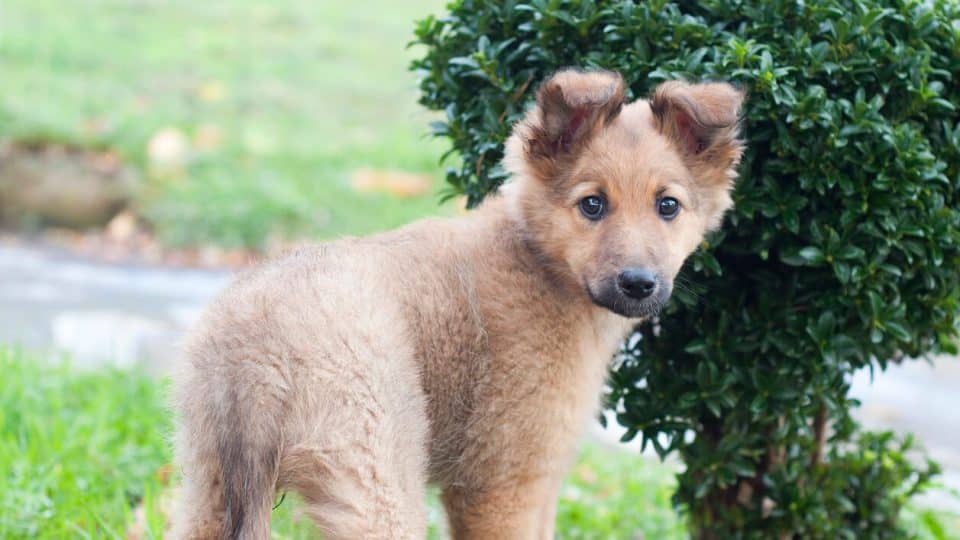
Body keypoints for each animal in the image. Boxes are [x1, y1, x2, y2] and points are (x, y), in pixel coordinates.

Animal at [171, 69, 744, 536]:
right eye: (593, 205)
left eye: (667, 206)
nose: (638, 283)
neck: (537, 263)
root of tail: (257, 350)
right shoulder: (502, 483)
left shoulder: (539, 482)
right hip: (376, 474)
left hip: (207, 487)